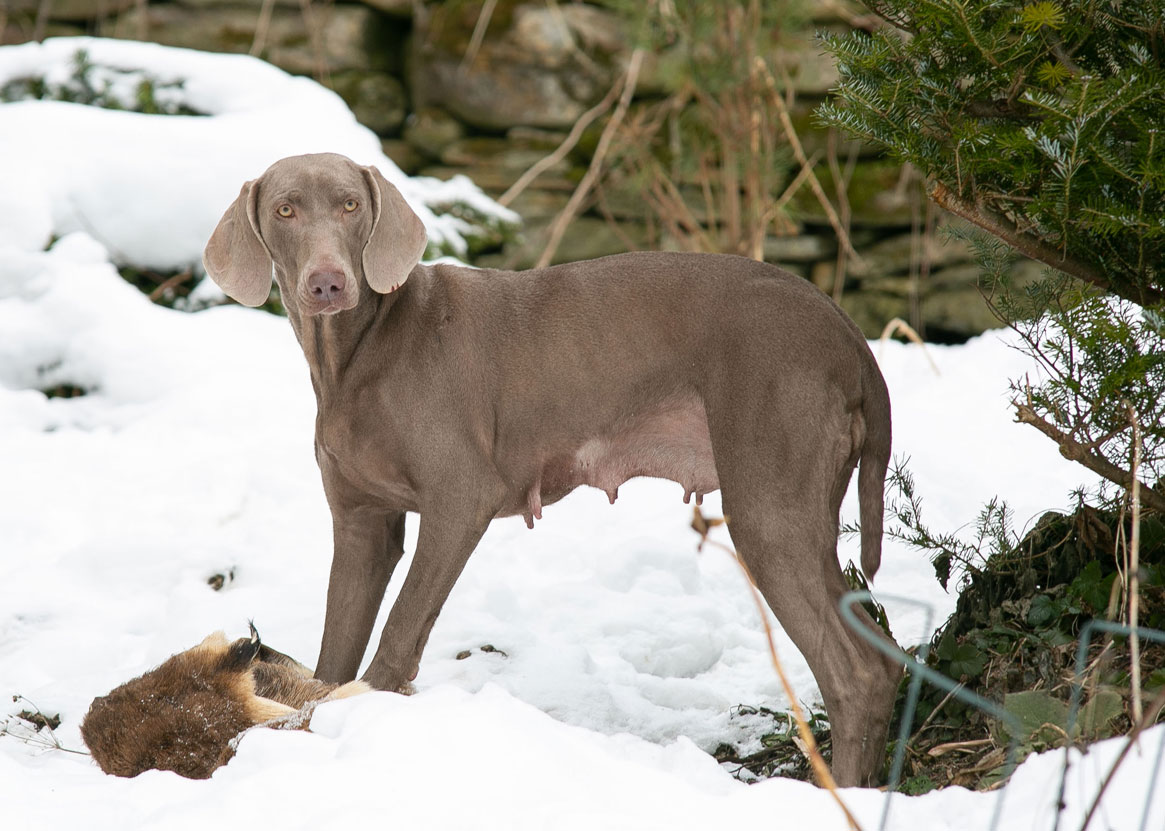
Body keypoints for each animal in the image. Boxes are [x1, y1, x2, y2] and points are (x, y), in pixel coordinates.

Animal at [202, 153, 899, 783]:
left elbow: (399, 631)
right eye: (285, 210)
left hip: (770, 505)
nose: (327, 283)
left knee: (858, 674)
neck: (355, 355)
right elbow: (334, 651)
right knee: (885, 661)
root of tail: (850, 336)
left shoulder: (461, 499)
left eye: (350, 205)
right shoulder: (362, 525)